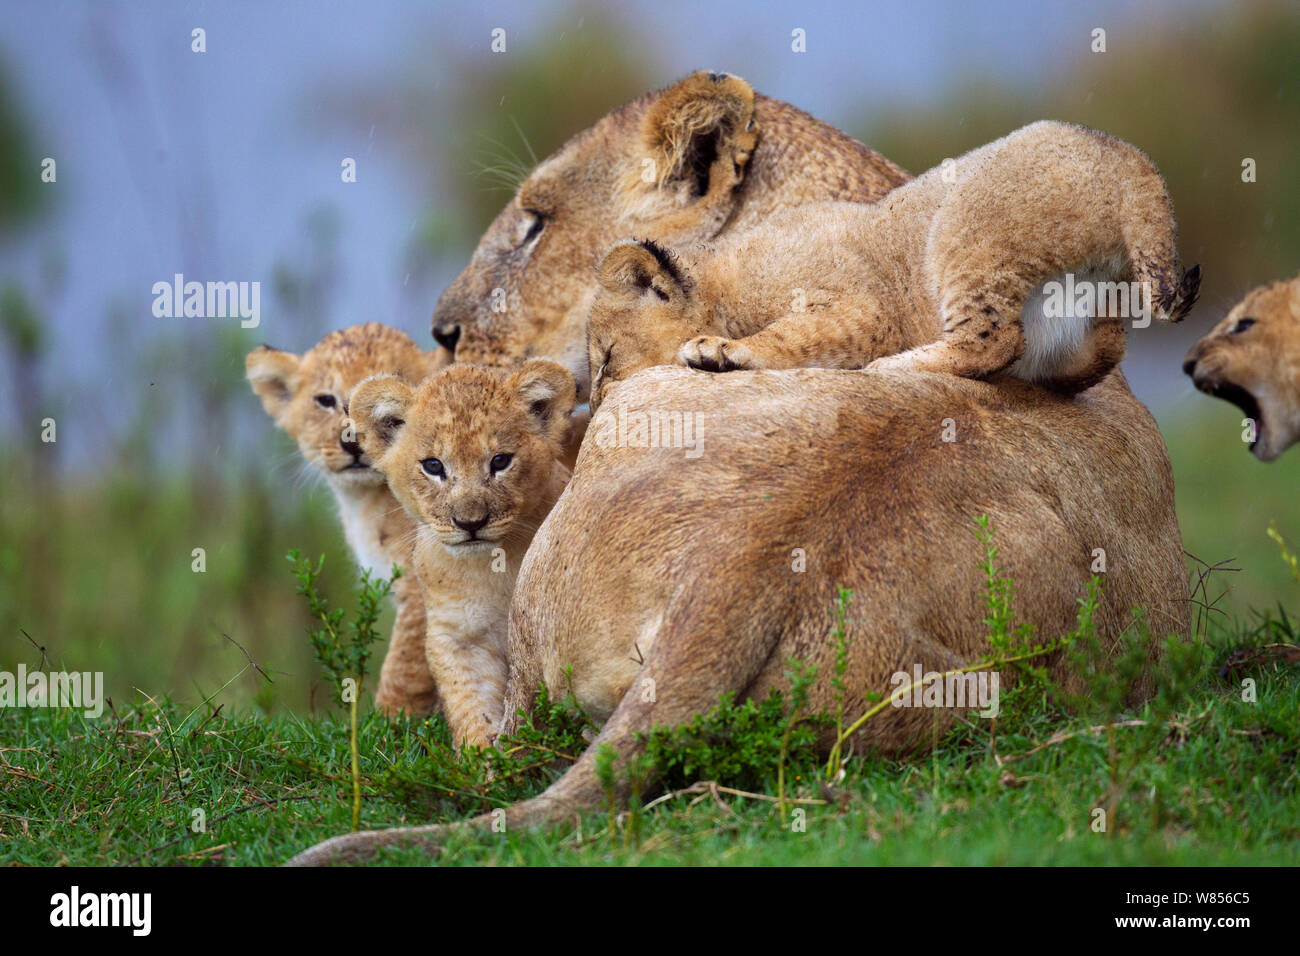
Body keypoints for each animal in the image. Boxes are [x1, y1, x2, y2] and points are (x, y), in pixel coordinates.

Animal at [246, 324, 446, 716]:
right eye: (325, 400)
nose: (352, 441)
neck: (364, 501)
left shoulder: (427, 582)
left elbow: (405, 667)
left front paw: (388, 723)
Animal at [346, 360, 575, 749]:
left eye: (500, 461)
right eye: (433, 466)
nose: (471, 523)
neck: (490, 566)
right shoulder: (457, 636)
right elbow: (470, 704)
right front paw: (482, 759)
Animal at [590, 122, 1199, 406]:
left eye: (606, 357)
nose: (592, 406)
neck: (726, 277)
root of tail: (1131, 160)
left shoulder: (865, 307)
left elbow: (794, 337)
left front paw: (720, 352)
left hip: (962, 230)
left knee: (994, 341)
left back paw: (895, 366)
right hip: (1091, 306)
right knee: (1099, 350)